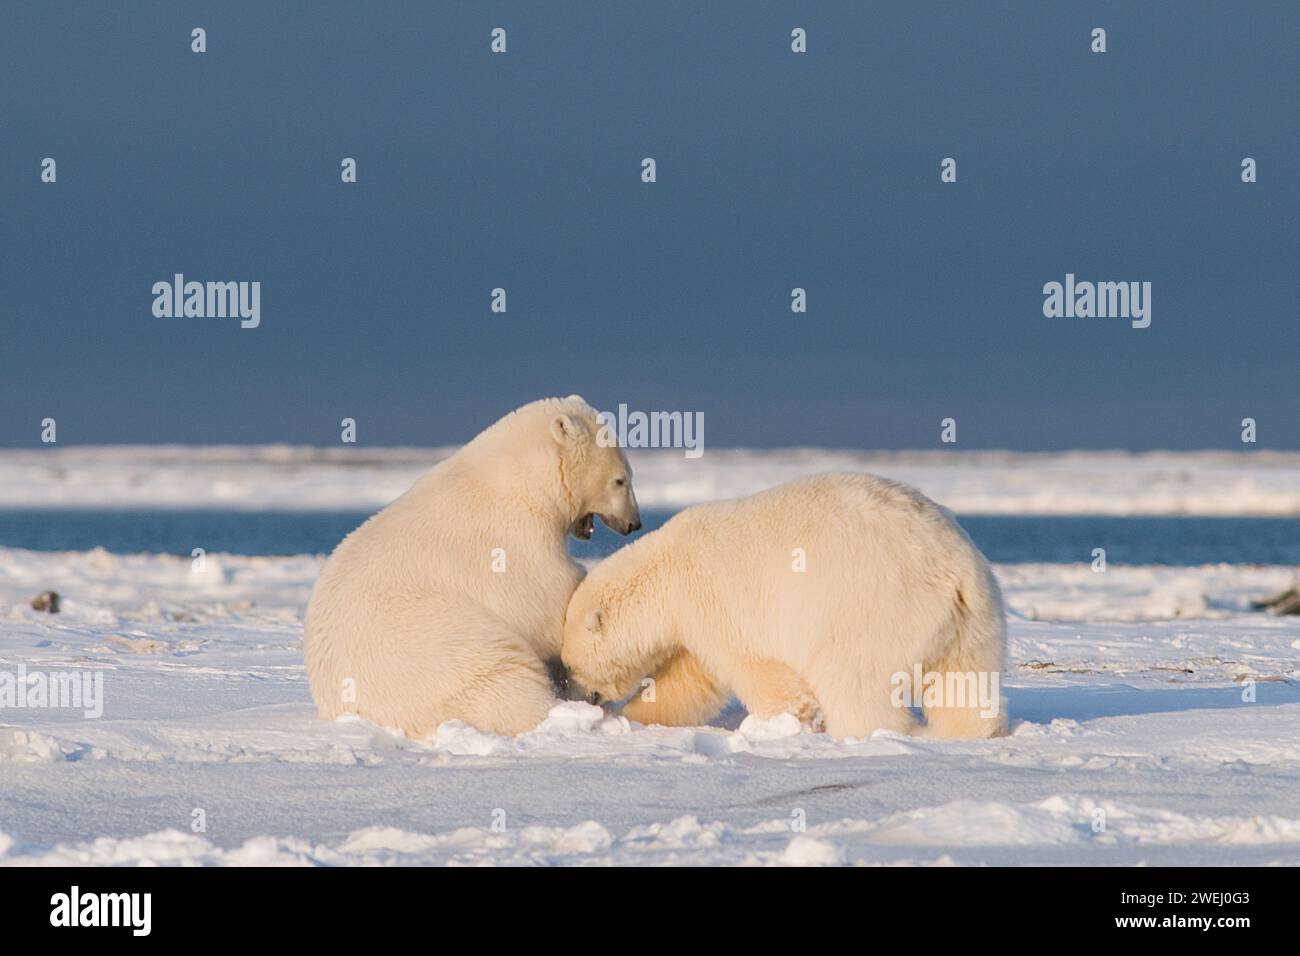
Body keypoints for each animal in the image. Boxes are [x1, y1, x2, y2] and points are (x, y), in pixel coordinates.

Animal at [309, 392, 644, 738]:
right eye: (621, 480)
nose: (634, 523)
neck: (520, 480)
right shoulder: (509, 539)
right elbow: (545, 601)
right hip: (462, 657)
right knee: (507, 687)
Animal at [561, 470, 1003, 738]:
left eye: (570, 664)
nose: (582, 695)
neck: (664, 570)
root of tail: (953, 567)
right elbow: (690, 681)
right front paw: (637, 717)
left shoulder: (713, 601)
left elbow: (758, 671)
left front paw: (786, 723)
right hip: (974, 618)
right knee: (966, 682)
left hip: (874, 607)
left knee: (855, 681)